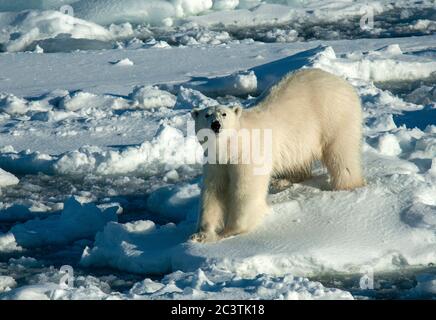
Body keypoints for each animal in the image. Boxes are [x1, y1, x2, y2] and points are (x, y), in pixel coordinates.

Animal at [191, 68, 364, 242]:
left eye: (224, 114)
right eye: (206, 115)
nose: (216, 125)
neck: (230, 146)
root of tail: (342, 82)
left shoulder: (248, 156)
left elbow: (245, 191)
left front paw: (232, 230)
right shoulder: (216, 161)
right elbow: (213, 190)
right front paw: (202, 234)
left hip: (334, 116)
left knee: (341, 153)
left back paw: (347, 185)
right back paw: (285, 181)